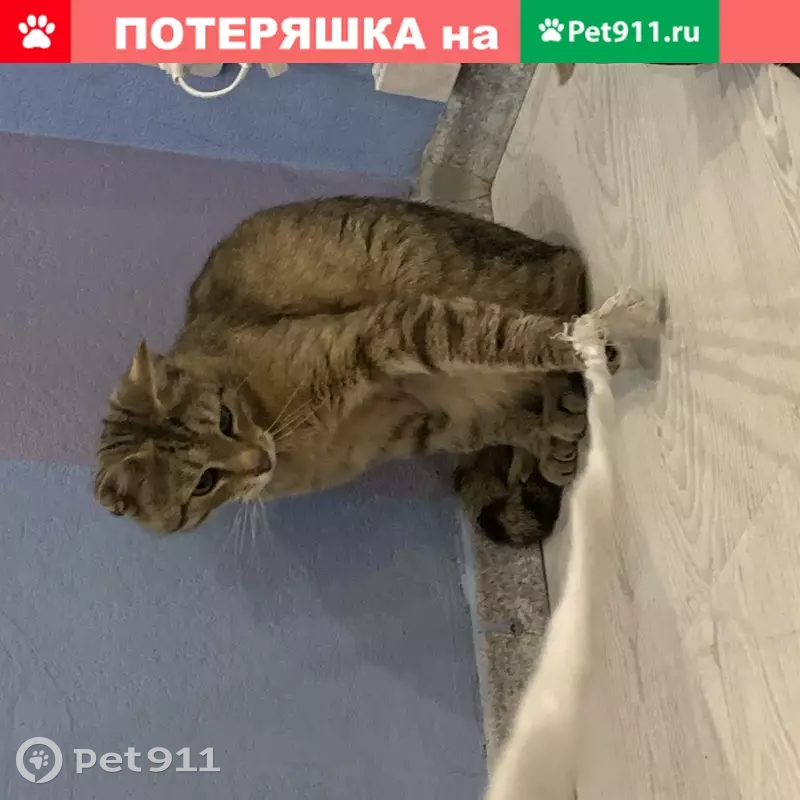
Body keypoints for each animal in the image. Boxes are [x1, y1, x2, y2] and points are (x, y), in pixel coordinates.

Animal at [94, 196, 598, 541]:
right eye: (204, 482)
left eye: (224, 418)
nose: (260, 460)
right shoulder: (418, 425)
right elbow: (497, 424)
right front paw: (542, 438)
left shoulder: (380, 333)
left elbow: (494, 340)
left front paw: (579, 347)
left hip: (455, 269)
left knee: (560, 284)